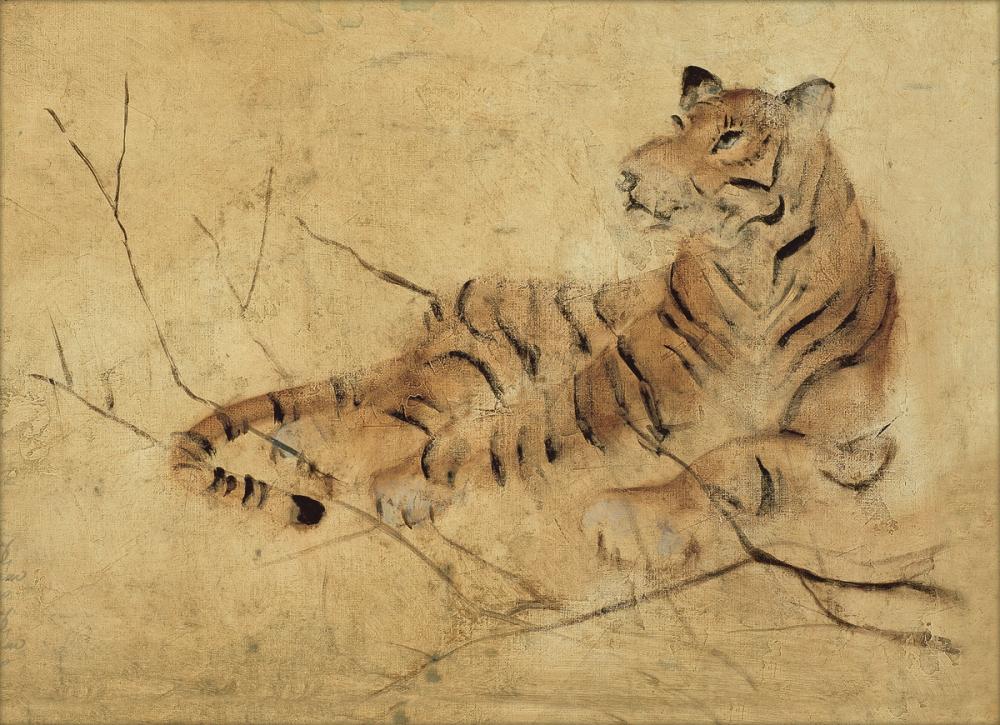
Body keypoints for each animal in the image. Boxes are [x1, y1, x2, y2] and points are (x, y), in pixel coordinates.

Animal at [169, 66, 916, 597]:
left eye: (728, 137)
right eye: (677, 121)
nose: (628, 176)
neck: (755, 273)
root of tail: (443, 313)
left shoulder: (836, 427)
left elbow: (741, 458)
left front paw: (631, 521)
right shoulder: (608, 394)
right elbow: (510, 442)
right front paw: (412, 486)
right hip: (467, 369)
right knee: (378, 421)